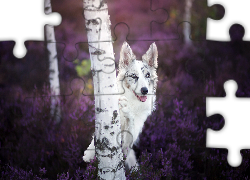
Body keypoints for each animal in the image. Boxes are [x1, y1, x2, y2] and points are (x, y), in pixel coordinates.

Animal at [84, 41, 158, 170]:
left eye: (148, 75)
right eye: (134, 76)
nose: (145, 90)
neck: (132, 100)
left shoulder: (129, 142)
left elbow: (131, 122)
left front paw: (127, 109)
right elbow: (96, 135)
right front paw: (89, 152)